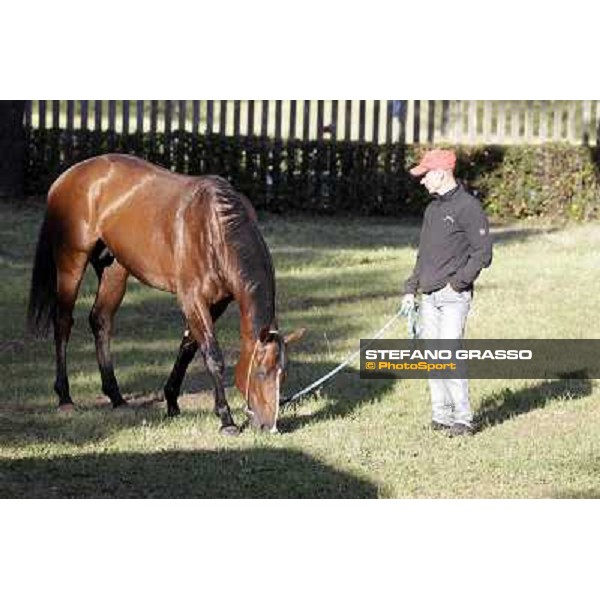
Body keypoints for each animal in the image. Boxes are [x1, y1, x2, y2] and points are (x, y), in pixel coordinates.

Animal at [27, 154, 304, 436]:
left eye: (283, 375)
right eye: (260, 372)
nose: (270, 427)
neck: (215, 228)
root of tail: (67, 176)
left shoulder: (215, 304)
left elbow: (189, 347)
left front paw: (171, 400)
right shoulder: (192, 299)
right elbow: (212, 355)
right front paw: (226, 420)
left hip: (115, 269)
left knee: (100, 320)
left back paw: (116, 397)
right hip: (71, 262)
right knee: (63, 322)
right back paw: (65, 398)